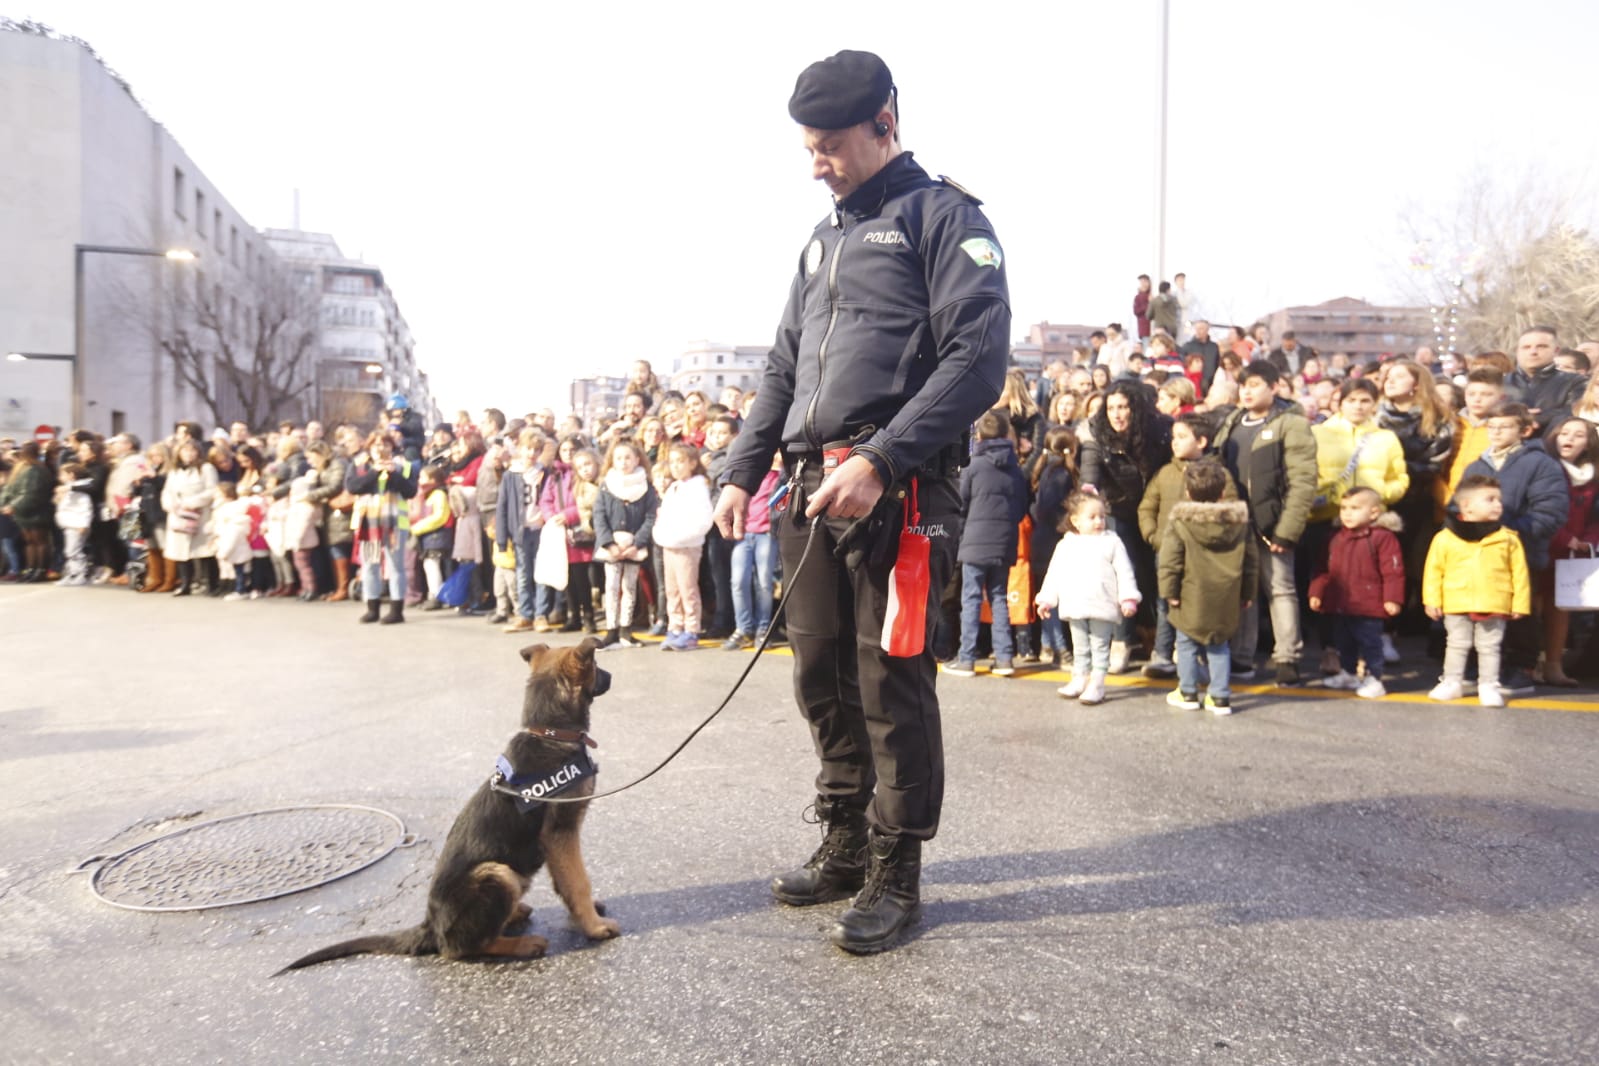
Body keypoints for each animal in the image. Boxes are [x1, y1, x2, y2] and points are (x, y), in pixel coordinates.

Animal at [275, 639, 617, 971]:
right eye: (597, 665)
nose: (612, 676)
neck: (550, 734)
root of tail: (429, 926)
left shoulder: (559, 840)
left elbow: (567, 881)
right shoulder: (561, 833)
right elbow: (577, 881)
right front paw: (595, 926)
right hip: (497, 874)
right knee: (459, 948)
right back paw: (523, 944)